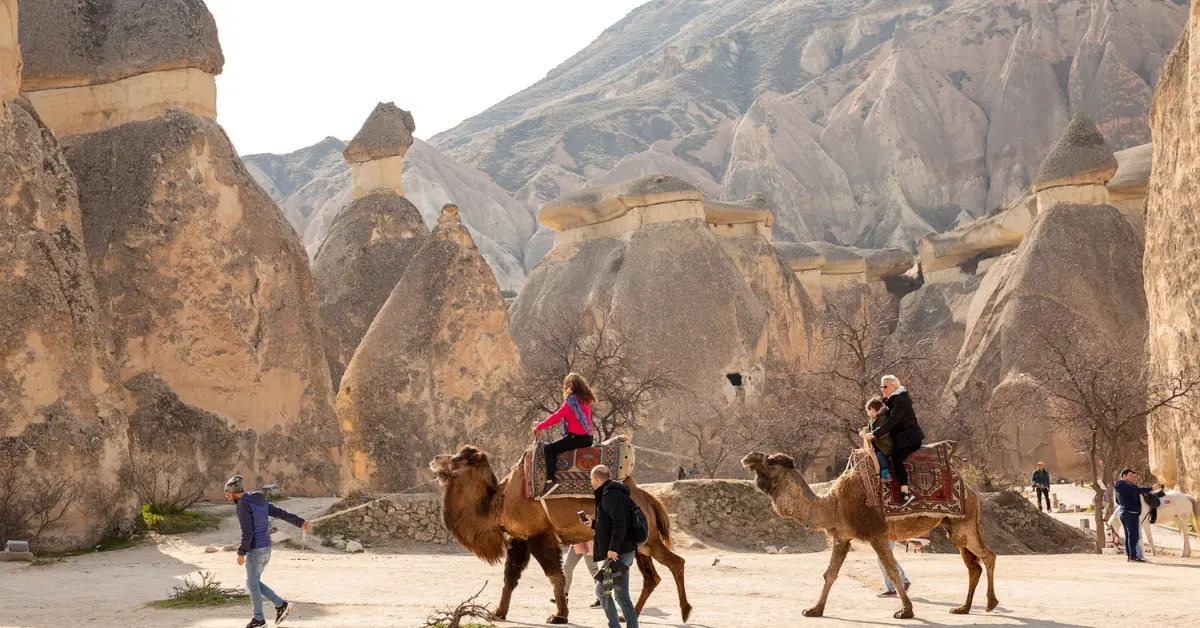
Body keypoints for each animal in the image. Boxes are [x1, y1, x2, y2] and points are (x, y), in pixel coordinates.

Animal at [432, 444, 696, 624]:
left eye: (458, 458)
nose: (435, 459)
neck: (501, 501)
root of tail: (646, 496)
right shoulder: (520, 538)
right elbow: (510, 577)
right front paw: (498, 613)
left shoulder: (539, 536)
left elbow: (554, 575)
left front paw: (559, 616)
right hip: (638, 543)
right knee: (650, 577)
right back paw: (630, 615)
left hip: (648, 538)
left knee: (676, 562)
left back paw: (685, 611)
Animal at [739, 451, 993, 619]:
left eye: (771, 462)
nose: (748, 457)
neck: (834, 505)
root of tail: (972, 491)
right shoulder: (841, 537)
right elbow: (830, 574)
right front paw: (814, 609)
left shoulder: (876, 534)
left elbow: (892, 571)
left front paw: (906, 611)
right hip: (954, 528)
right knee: (973, 565)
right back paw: (963, 608)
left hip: (965, 523)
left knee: (987, 556)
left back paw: (990, 604)